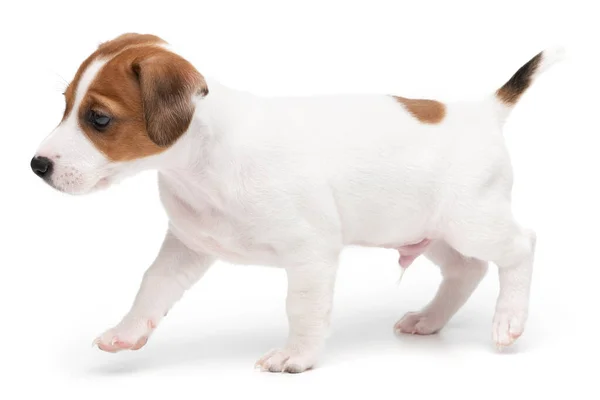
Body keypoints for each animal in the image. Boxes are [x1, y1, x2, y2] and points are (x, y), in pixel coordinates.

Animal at [30, 33, 564, 372]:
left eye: (98, 118)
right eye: (65, 104)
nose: (37, 165)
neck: (203, 161)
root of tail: (484, 112)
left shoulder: (310, 255)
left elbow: (302, 310)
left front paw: (298, 357)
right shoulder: (185, 248)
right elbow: (150, 288)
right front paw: (127, 331)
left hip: (472, 222)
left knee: (522, 246)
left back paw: (509, 319)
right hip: (422, 229)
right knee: (466, 270)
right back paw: (430, 319)